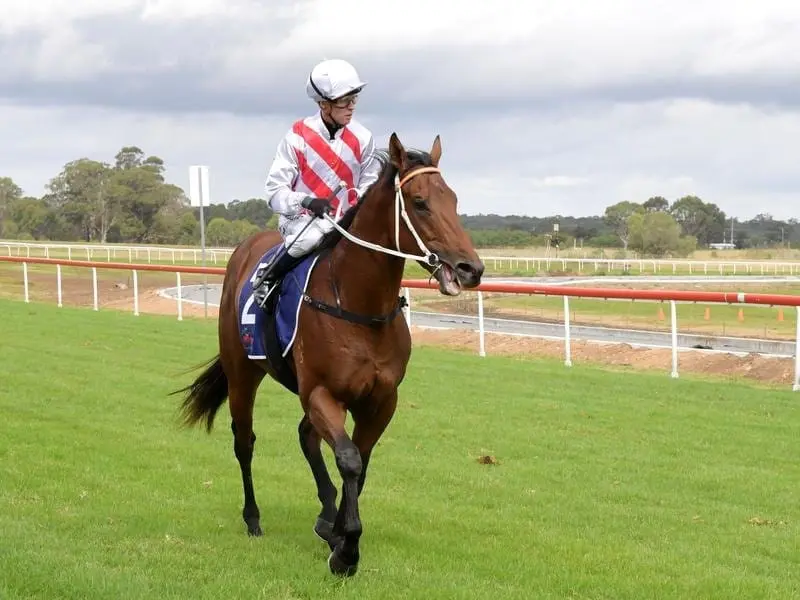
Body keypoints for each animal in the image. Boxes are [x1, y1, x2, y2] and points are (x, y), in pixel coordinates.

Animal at [175, 132, 484, 576]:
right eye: (420, 201)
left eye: (454, 200)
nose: (470, 269)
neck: (358, 306)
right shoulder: (322, 392)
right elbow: (350, 459)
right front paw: (347, 548)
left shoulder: (381, 399)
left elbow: (360, 462)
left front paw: (336, 531)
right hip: (242, 372)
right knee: (245, 441)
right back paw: (253, 518)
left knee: (306, 436)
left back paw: (324, 514)